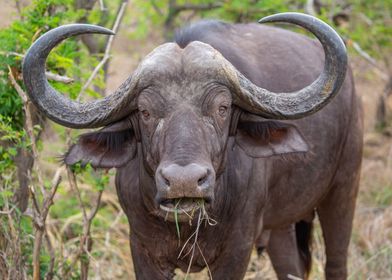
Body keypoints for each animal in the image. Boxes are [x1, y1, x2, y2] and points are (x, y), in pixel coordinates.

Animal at [23, 12, 362, 278]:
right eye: (145, 112)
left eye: (222, 108)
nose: (183, 181)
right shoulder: (143, 250)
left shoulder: (237, 251)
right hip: (282, 224)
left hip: (343, 188)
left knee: (336, 262)